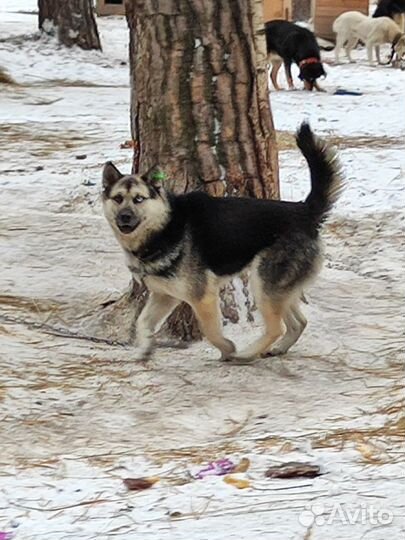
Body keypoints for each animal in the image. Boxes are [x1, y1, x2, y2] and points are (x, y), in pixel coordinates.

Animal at [102, 122, 342, 362]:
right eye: (118, 198)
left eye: (139, 199)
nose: (124, 217)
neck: (165, 227)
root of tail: (305, 211)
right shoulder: (165, 295)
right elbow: (143, 321)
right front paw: (145, 349)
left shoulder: (203, 297)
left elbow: (211, 331)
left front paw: (227, 348)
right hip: (275, 288)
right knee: (298, 323)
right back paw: (278, 348)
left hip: (262, 284)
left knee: (276, 328)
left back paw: (246, 354)